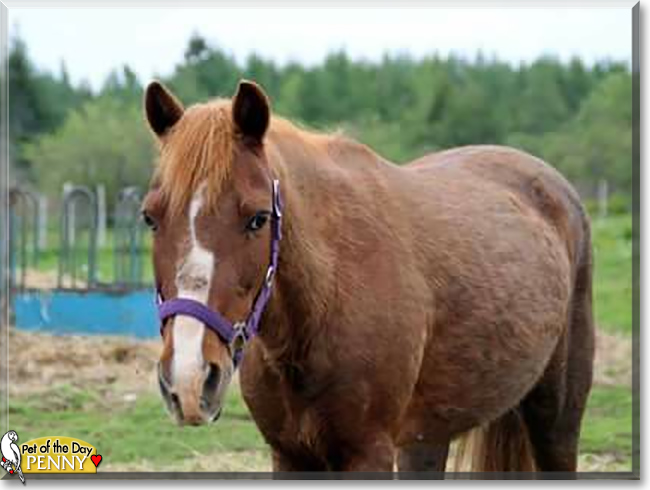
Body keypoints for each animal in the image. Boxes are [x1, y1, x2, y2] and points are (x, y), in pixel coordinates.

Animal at [142, 79, 592, 474]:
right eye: (150, 217)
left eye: (258, 218)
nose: (189, 378)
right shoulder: (290, 456)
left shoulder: (367, 453)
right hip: (427, 437)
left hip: (556, 422)